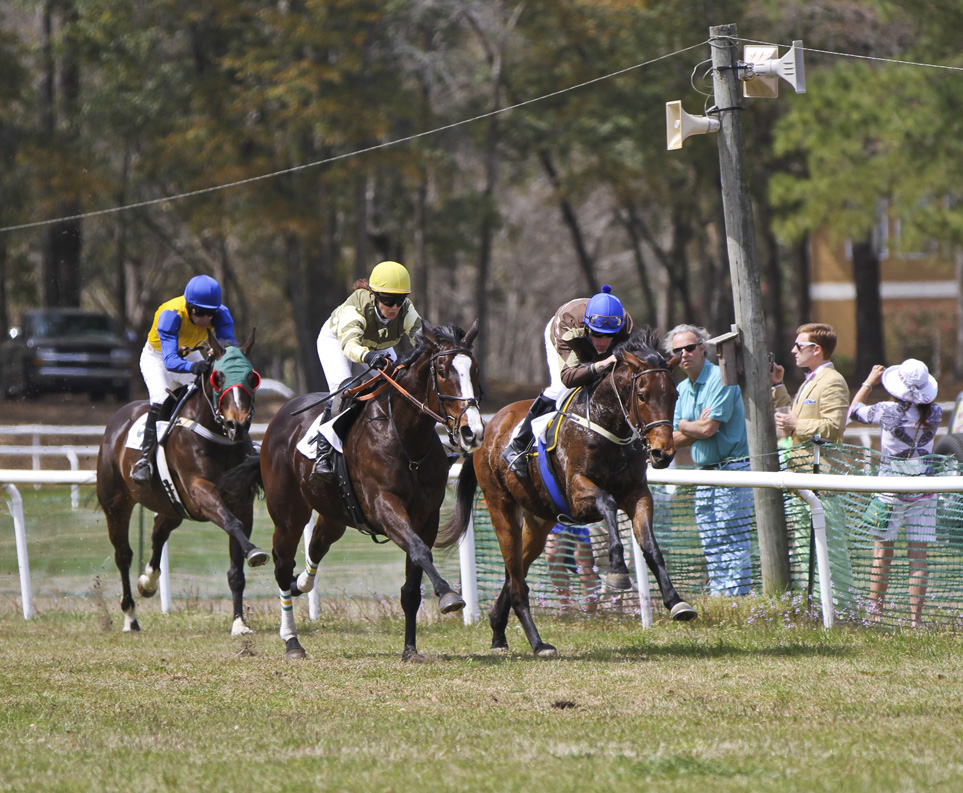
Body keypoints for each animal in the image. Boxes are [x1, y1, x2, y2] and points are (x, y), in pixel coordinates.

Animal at [97, 332, 268, 636]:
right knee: (123, 554)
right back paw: (130, 616)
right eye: (218, 377)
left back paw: (148, 581)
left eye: (252, 377)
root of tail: (117, 420)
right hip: (116, 503)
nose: (238, 425)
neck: (216, 437)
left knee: (158, 533)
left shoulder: (240, 502)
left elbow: (236, 565)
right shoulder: (200, 490)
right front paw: (255, 552)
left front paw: (239, 622)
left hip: (172, 506)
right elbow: (231, 523)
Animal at [233, 322, 486, 664]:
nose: (473, 432)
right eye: (444, 370)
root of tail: (279, 419)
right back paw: (292, 640)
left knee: (316, 547)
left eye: (474, 370)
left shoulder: (427, 517)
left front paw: (410, 649)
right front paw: (448, 596)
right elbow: (420, 551)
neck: (405, 437)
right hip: (288, 515)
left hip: (334, 515)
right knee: (282, 565)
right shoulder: (383, 505)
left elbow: (412, 583)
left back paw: (302, 583)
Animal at [440, 326, 696, 656]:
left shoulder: (638, 494)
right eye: (642, 395)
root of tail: (487, 427)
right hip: (501, 508)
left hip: (539, 521)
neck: (606, 425)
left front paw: (676, 601)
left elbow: (650, 545)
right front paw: (617, 571)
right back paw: (537, 643)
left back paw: (498, 628)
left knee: (514, 570)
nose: (663, 453)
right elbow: (608, 503)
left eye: (674, 395)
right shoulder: (578, 493)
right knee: (517, 578)